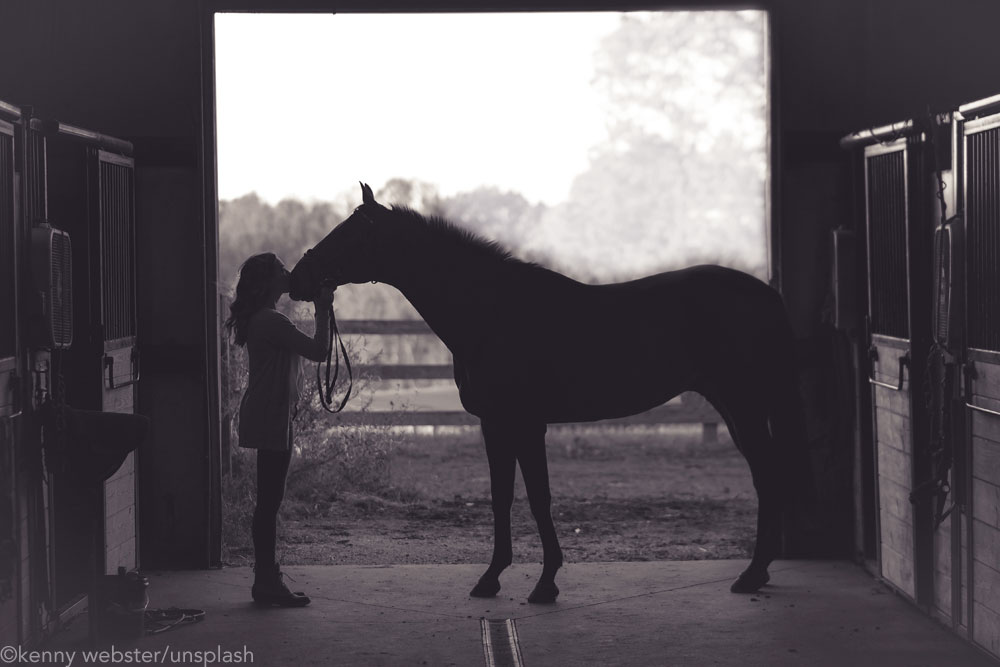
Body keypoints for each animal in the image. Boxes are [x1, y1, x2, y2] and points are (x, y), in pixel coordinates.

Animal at [290, 183, 812, 604]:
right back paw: (758, 573)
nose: (297, 278)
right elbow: (502, 497)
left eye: (349, 234)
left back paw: (751, 575)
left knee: (768, 476)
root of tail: (767, 294)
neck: (491, 311)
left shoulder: (525, 423)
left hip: (745, 406)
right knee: (767, 476)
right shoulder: (494, 424)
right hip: (734, 407)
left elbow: (538, 498)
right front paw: (491, 579)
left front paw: (545, 584)